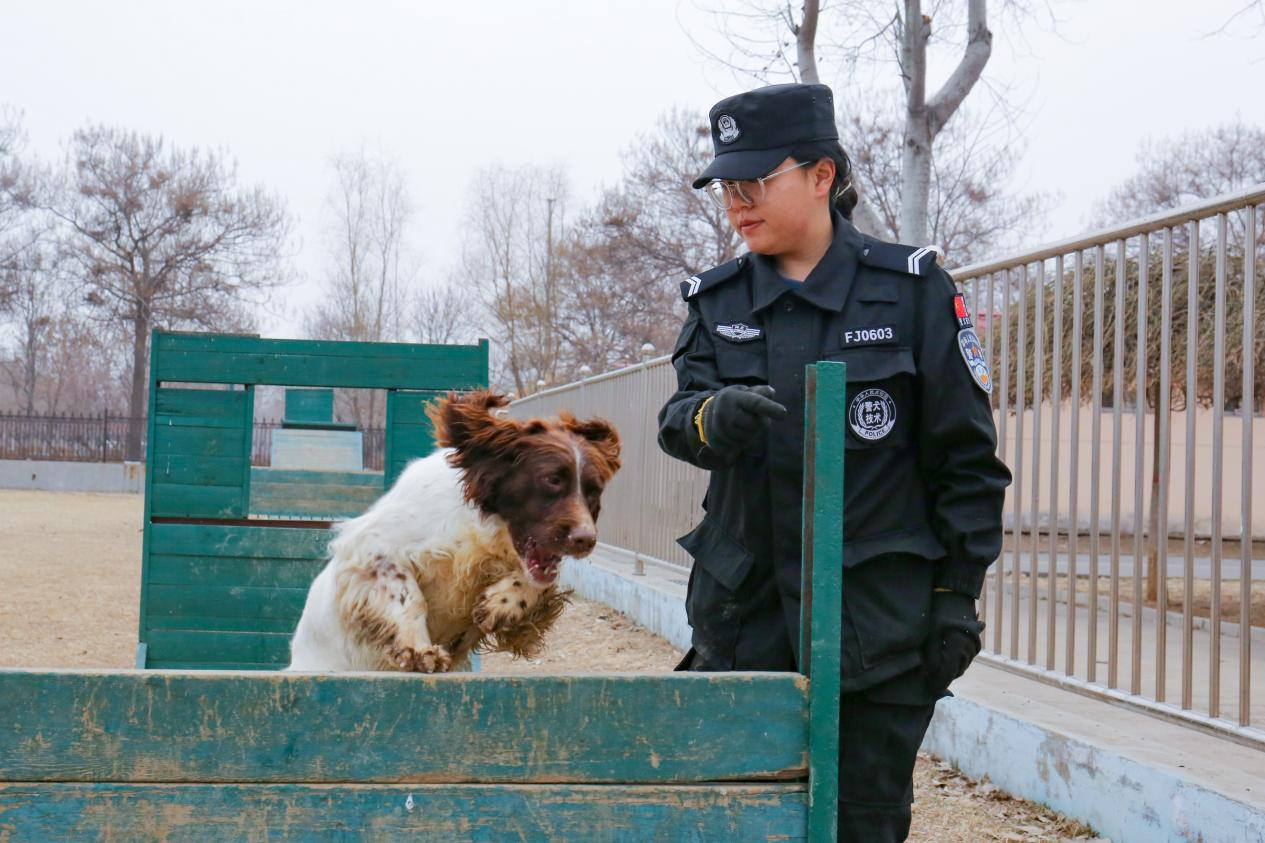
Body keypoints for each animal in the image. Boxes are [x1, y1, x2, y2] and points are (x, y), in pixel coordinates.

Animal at [288, 389, 622, 673]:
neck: (480, 533)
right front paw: (419, 649)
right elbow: (408, 594)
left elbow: (541, 582)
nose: (585, 540)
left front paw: (502, 603)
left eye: (594, 491)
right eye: (552, 480)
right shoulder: (371, 547)